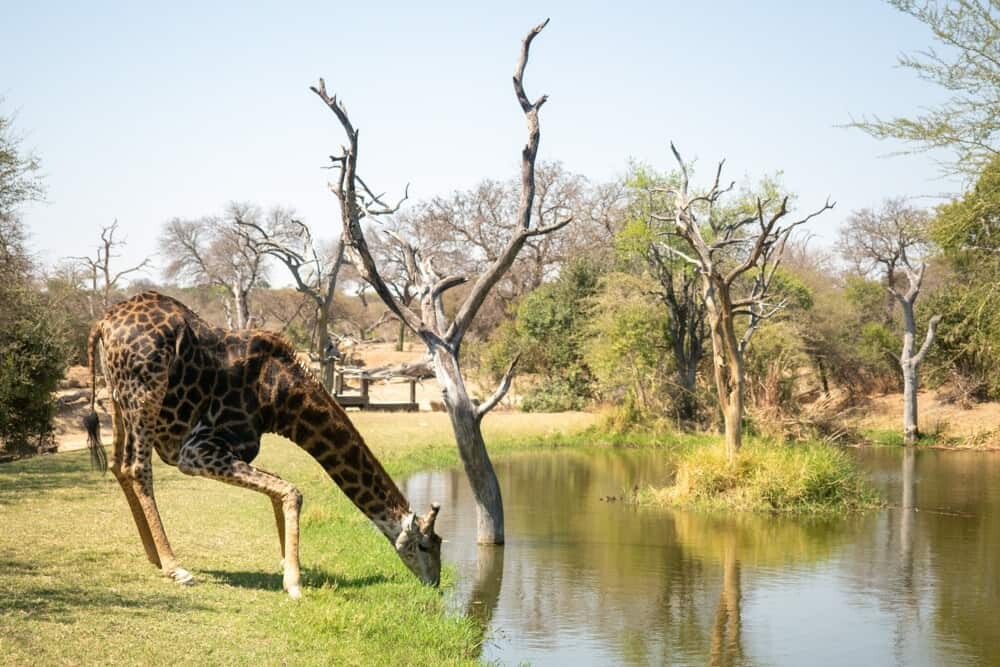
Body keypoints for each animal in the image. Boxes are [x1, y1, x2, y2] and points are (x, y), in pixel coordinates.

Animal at [78, 292, 438, 600]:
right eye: (425, 545)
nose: (435, 583)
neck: (281, 400)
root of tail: (103, 323)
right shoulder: (196, 451)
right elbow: (292, 491)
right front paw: (293, 584)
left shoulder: (228, 451)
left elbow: (279, 487)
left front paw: (287, 564)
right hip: (144, 393)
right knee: (137, 468)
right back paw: (175, 567)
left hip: (118, 397)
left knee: (118, 465)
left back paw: (153, 556)